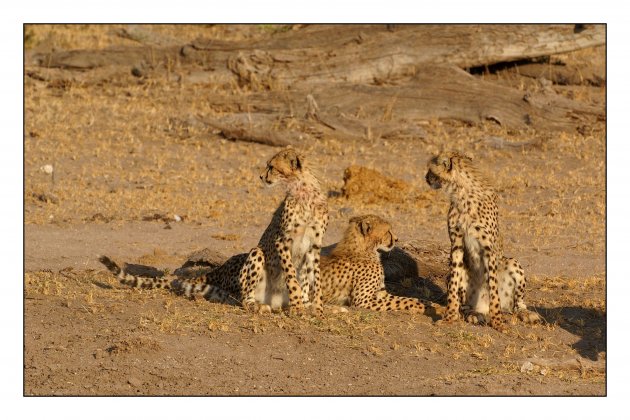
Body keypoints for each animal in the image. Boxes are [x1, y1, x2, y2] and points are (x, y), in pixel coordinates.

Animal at [97, 148, 330, 316]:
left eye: (272, 167)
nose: (261, 176)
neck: (302, 191)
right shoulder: (283, 240)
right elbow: (291, 275)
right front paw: (299, 306)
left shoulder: (314, 246)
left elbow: (314, 278)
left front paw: (314, 307)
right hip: (256, 253)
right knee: (244, 298)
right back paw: (258, 306)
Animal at [428, 151, 540, 332]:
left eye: (430, 170)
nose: (426, 178)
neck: (462, 194)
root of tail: (482, 307)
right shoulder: (456, 244)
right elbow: (453, 286)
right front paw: (450, 317)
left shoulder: (489, 249)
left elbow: (493, 288)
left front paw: (498, 322)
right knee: (465, 304)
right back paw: (474, 314)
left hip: (512, 262)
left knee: (517, 304)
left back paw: (525, 313)